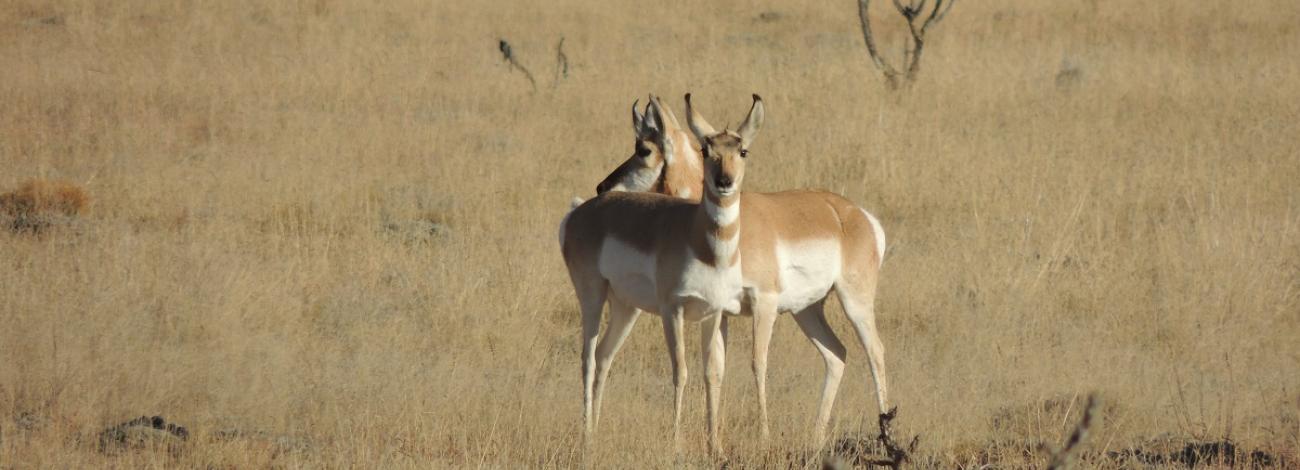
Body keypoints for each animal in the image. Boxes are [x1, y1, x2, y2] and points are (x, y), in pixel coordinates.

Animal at [559, 94, 764, 454]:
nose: (724, 183)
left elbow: (712, 373)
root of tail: (579, 212)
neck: (701, 241)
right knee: (587, 358)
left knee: (604, 356)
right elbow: (680, 371)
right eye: (706, 150)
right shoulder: (673, 312)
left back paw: (595, 431)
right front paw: (677, 442)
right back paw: (586, 437)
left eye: (742, 151)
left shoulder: (714, 313)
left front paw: (715, 445)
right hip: (593, 298)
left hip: (627, 308)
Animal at [594, 95, 890, 447]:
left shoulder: (764, 303)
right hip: (806, 310)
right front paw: (715, 440)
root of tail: (854, 214)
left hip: (854, 302)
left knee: (875, 352)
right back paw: (817, 438)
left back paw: (886, 433)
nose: (602, 187)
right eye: (706, 150)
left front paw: (763, 437)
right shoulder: (721, 312)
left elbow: (757, 364)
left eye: (643, 149)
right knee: (836, 354)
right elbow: (716, 369)